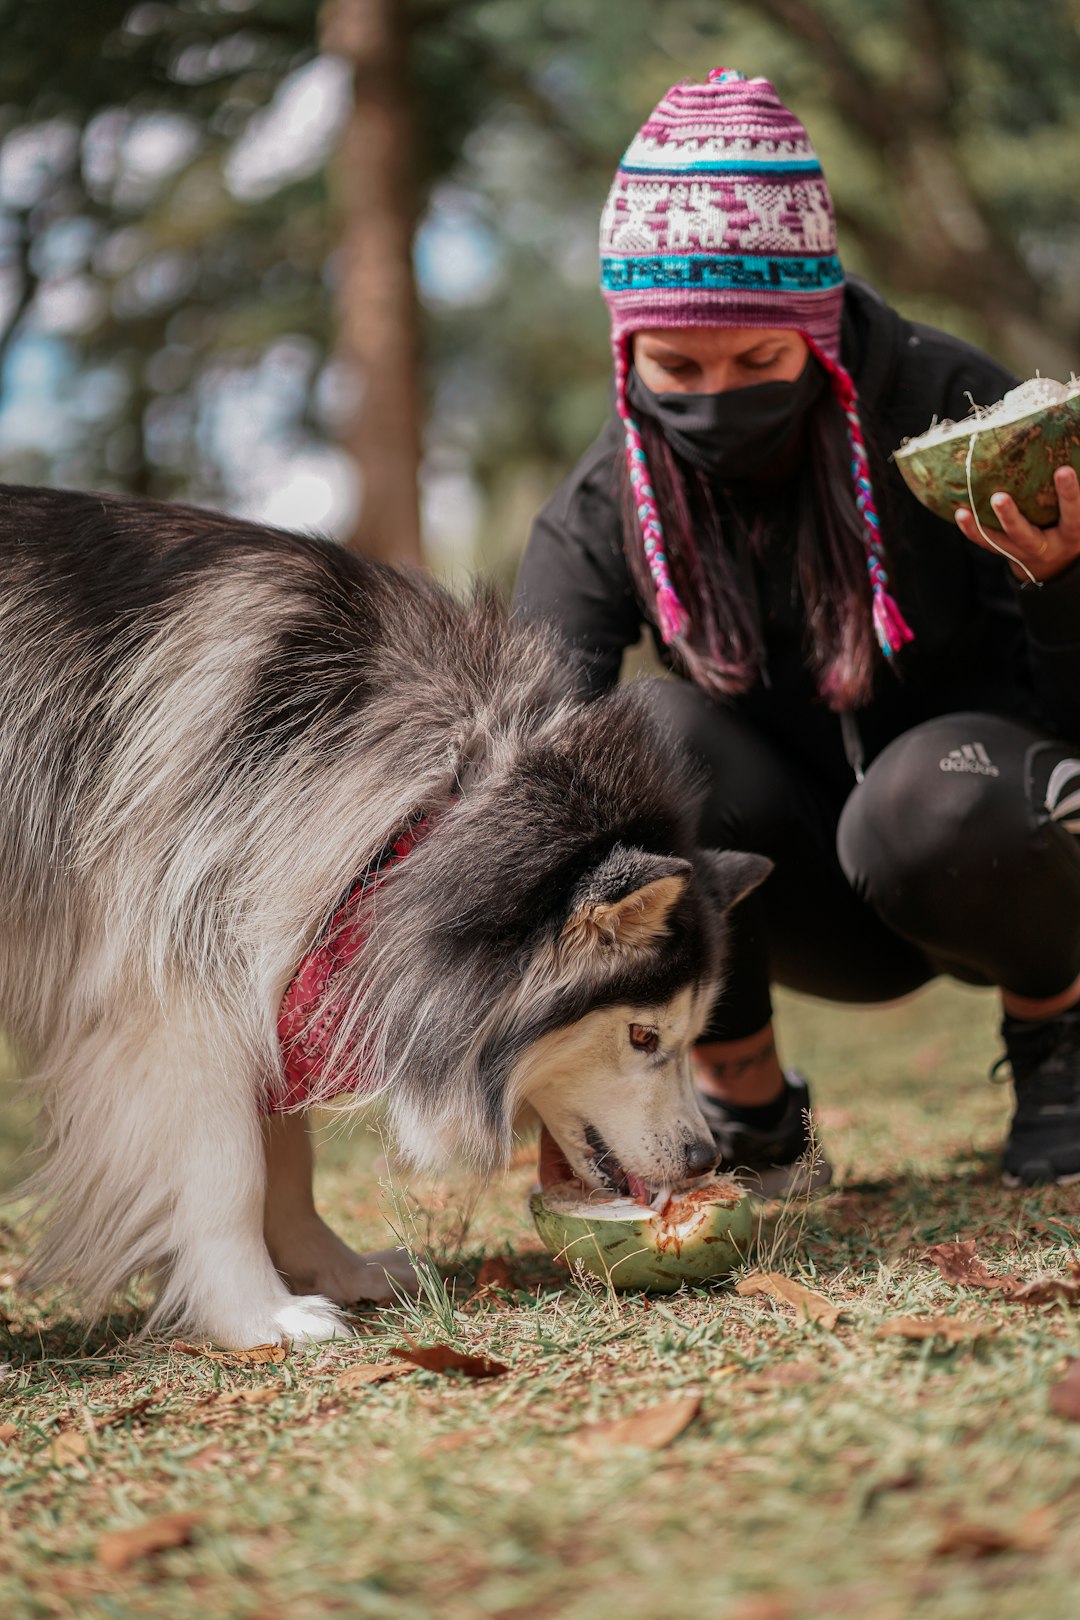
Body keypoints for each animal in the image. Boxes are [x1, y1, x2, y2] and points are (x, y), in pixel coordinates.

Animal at [0, 486, 767, 1347]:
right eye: (640, 1036)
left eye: (693, 1035)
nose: (705, 1160)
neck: (424, 818)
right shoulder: (175, 992)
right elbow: (230, 1165)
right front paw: (257, 1313)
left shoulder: (273, 961)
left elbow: (286, 1160)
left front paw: (334, 1269)